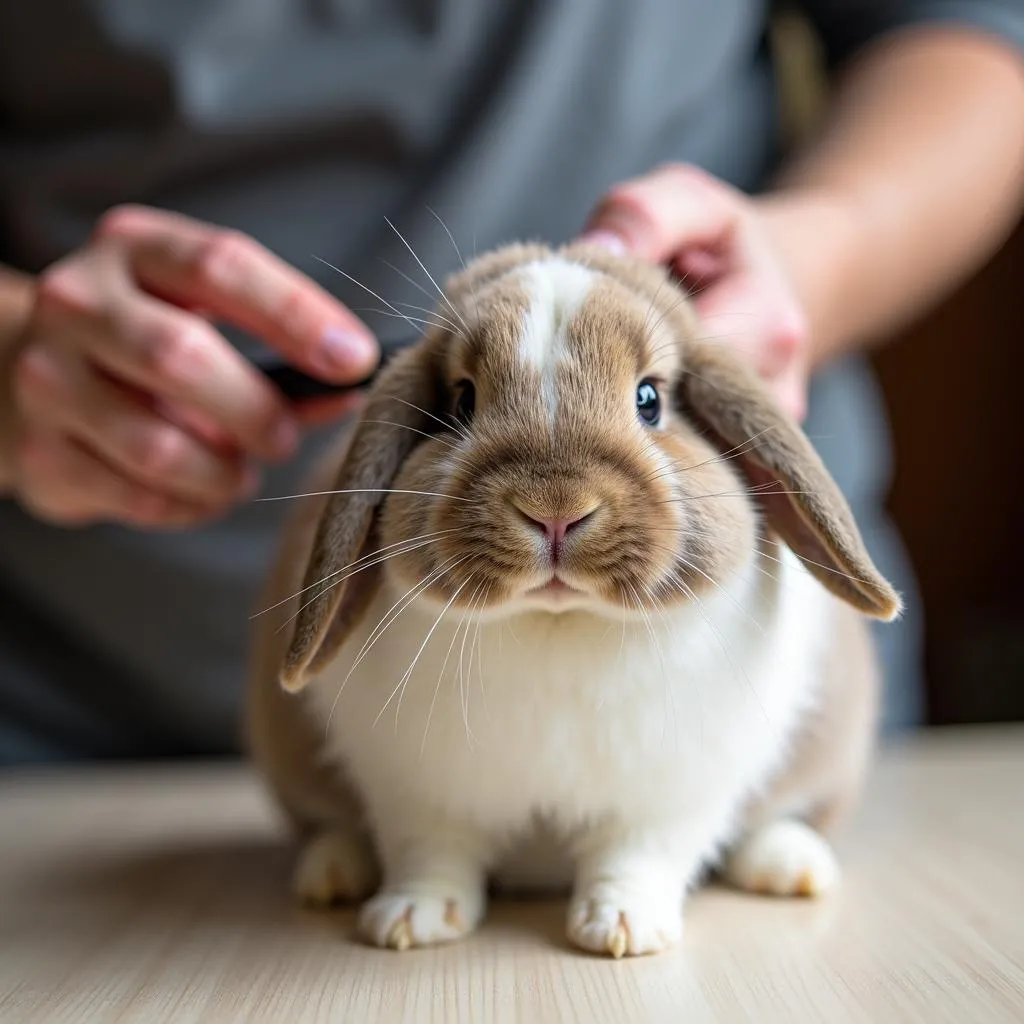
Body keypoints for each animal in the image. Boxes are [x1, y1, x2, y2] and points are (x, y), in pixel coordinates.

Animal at [243, 239, 901, 958]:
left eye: (649, 399)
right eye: (461, 401)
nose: (555, 510)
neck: (557, 624)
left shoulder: (669, 795)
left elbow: (637, 856)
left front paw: (623, 929)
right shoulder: (415, 790)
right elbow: (431, 851)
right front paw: (412, 921)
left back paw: (790, 867)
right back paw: (331, 873)